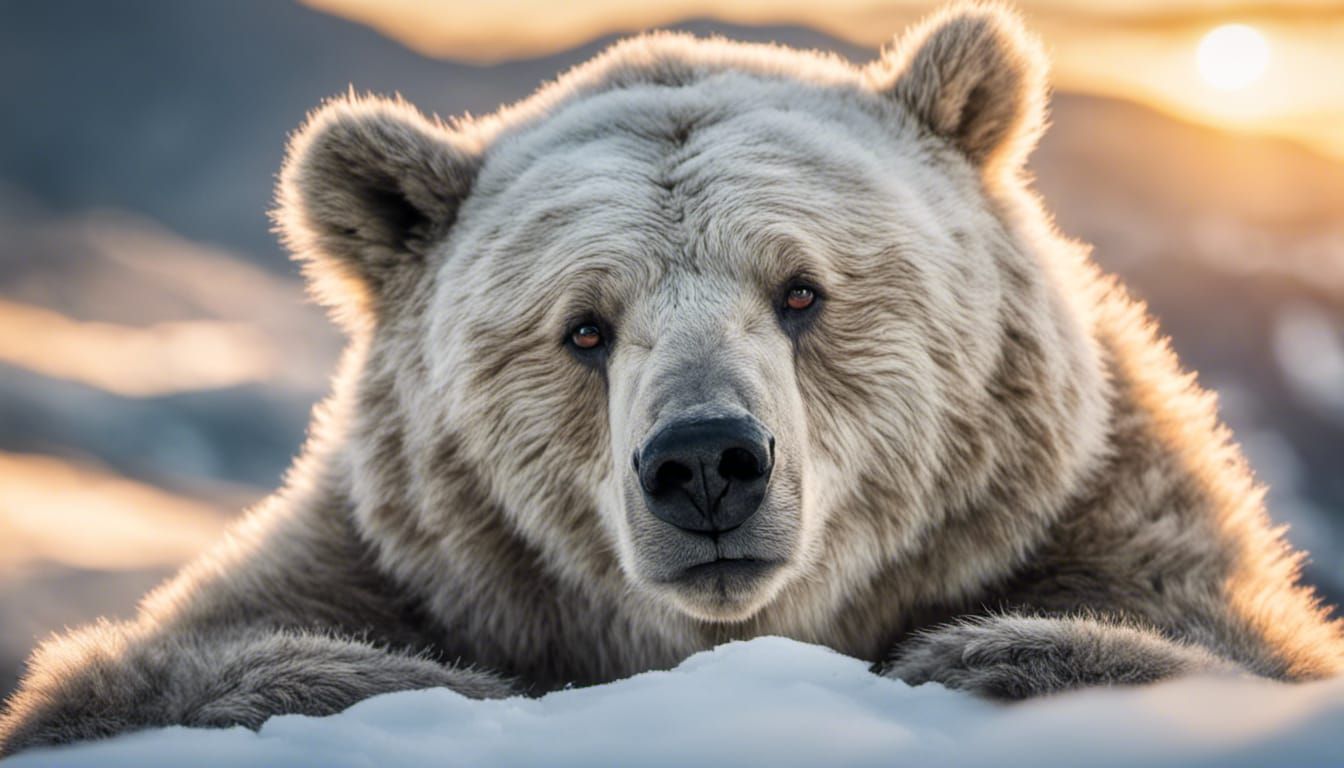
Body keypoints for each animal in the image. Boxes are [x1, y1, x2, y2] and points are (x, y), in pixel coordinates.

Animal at [2, 1, 1341, 755]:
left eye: (802, 291)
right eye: (585, 327)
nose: (706, 463)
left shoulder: (1106, 522)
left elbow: (1202, 648)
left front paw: (984, 653)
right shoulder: (388, 563)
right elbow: (147, 675)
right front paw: (420, 687)